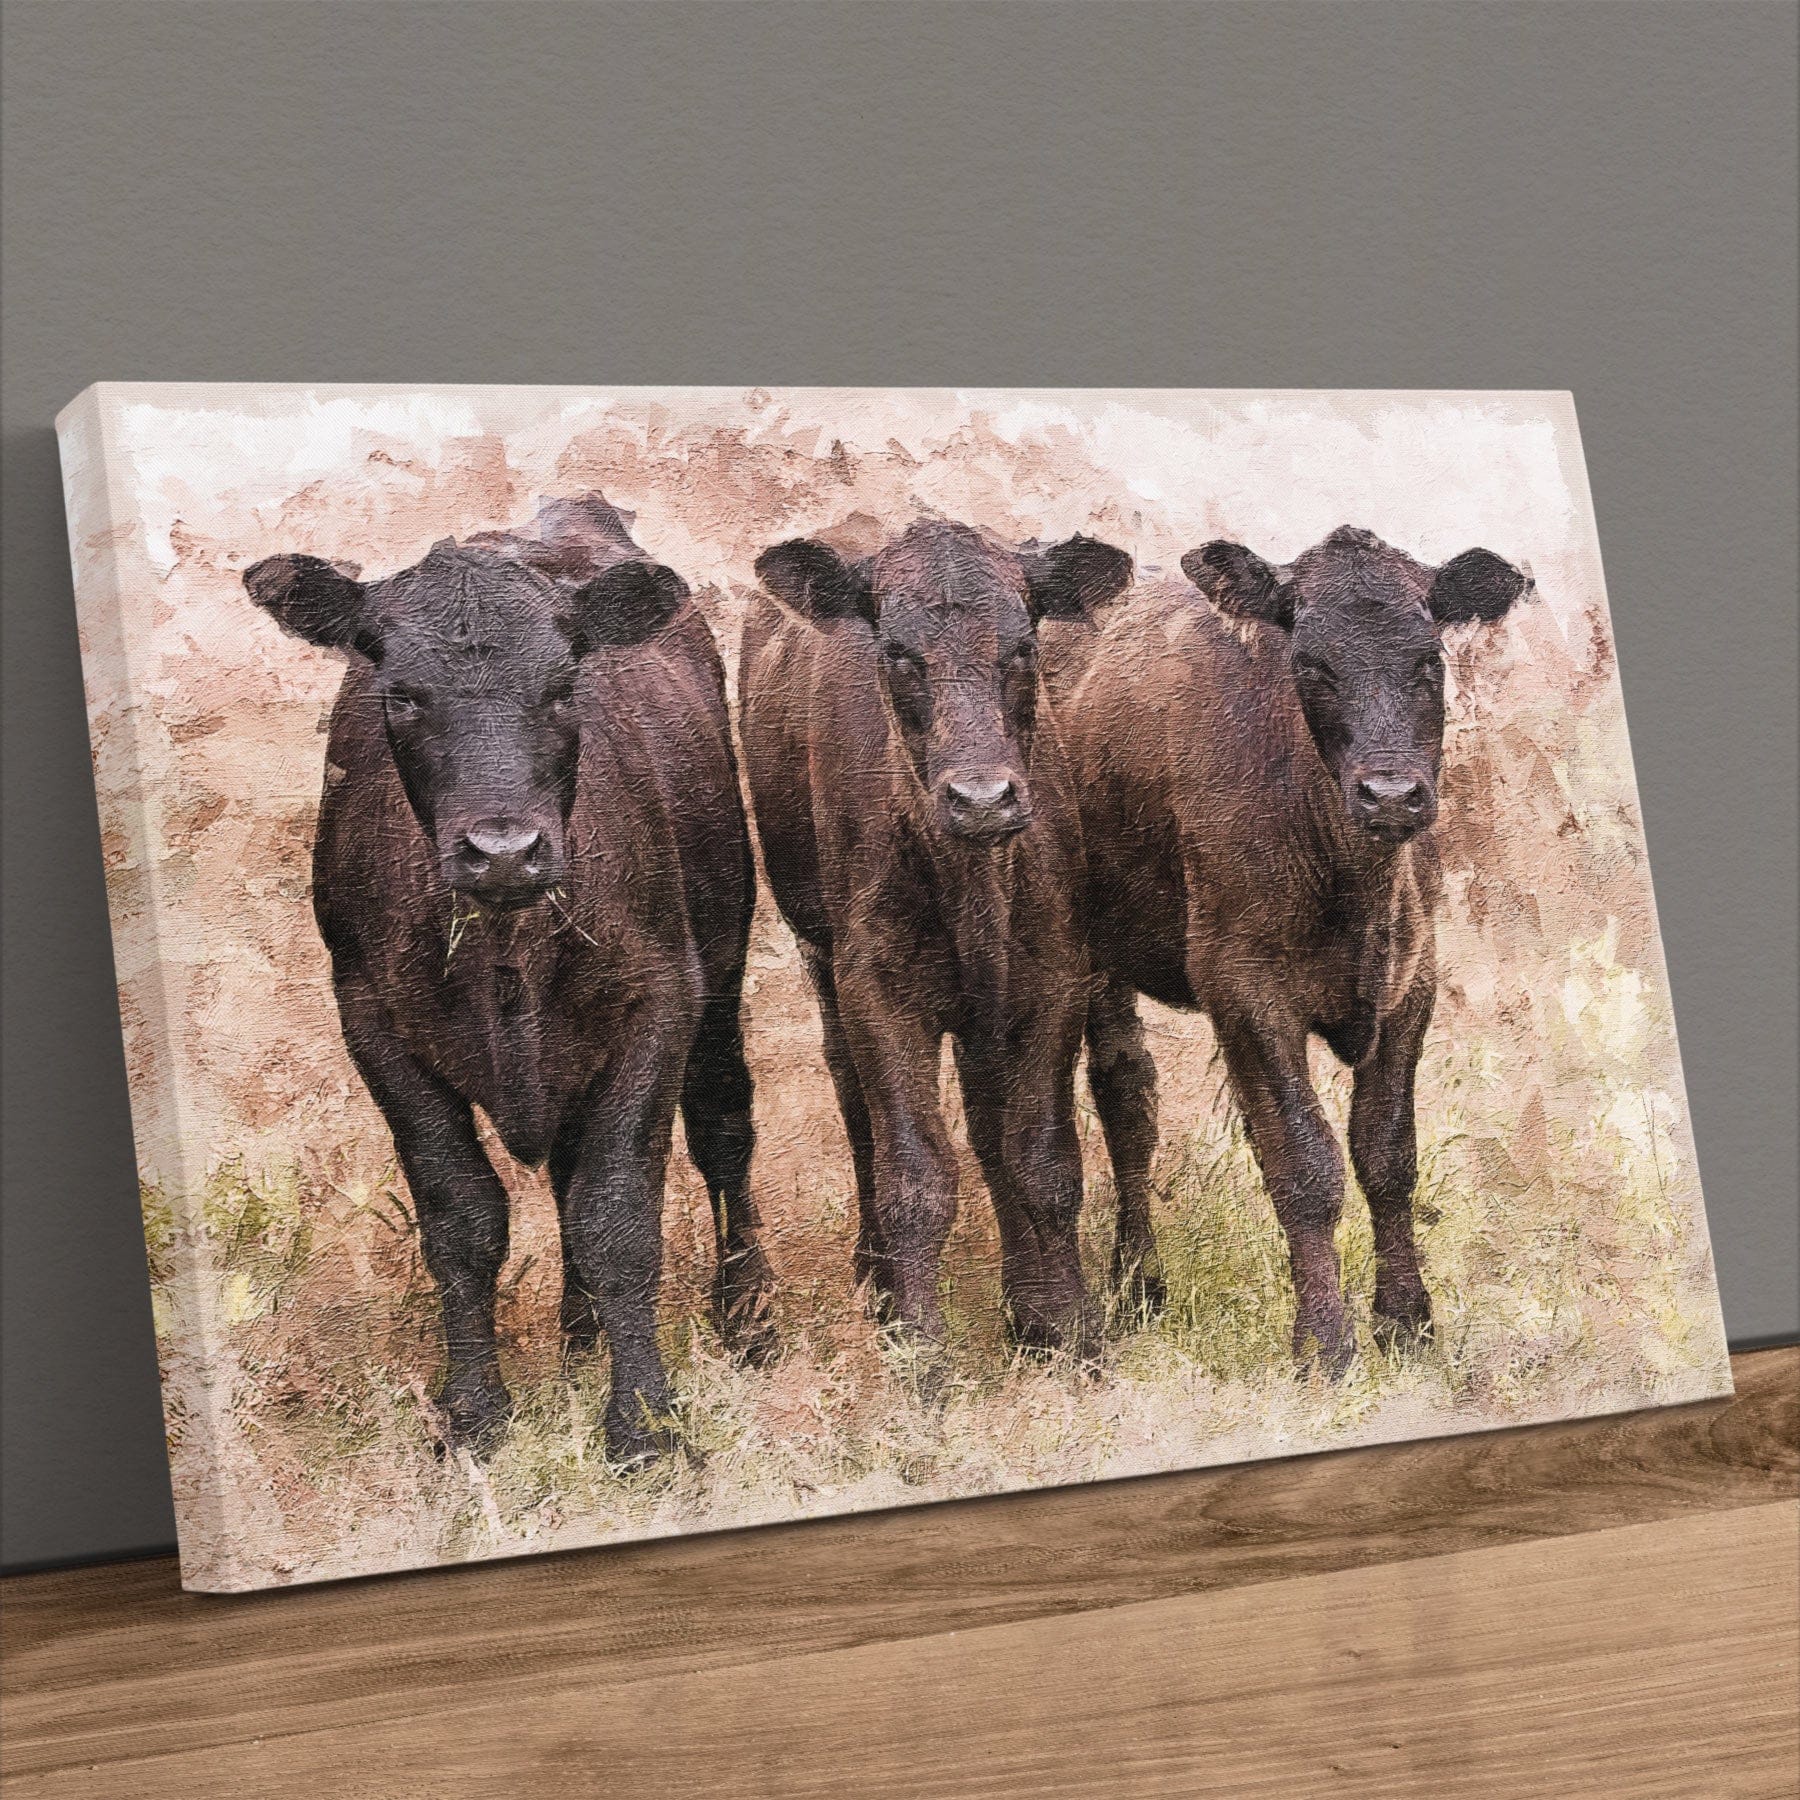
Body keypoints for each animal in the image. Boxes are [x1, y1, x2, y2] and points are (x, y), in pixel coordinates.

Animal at [243, 493, 776, 1463]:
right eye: (401, 694)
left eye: (564, 687)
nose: (502, 850)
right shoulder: (372, 1022)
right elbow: (462, 1219)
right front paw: (473, 1417)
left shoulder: (661, 998)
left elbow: (616, 1217)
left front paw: (645, 1426)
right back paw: (579, 1340)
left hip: (722, 968)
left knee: (723, 1130)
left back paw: (748, 1317)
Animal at [738, 519, 1133, 1380]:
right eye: (896, 652)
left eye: (1024, 645)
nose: (982, 798)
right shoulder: (875, 988)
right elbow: (914, 1178)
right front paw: (920, 1354)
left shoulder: (1055, 978)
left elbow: (1043, 1162)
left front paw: (1074, 1330)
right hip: (823, 961)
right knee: (857, 1108)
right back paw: (878, 1281)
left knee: (989, 1131)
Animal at [1048, 524, 1532, 1373]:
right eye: (1310, 664)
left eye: (1428, 659)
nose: (1391, 794)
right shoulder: (1242, 988)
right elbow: (1305, 1165)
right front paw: (1325, 1343)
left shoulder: (1413, 980)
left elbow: (1387, 1154)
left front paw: (1406, 1320)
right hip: (1087, 954)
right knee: (1124, 1096)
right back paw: (1138, 1286)